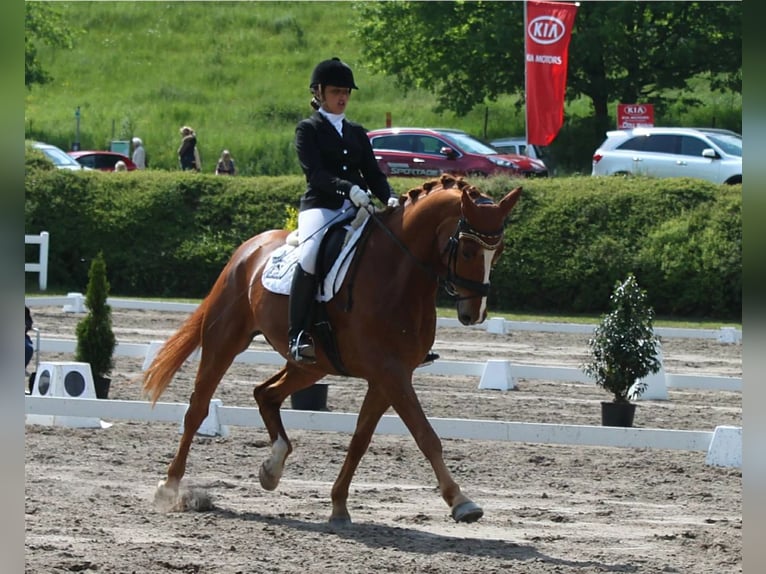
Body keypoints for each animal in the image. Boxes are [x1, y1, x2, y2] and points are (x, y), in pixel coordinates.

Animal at [143, 174, 520, 528]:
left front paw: (339, 505)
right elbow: (426, 436)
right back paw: (169, 487)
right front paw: (462, 502)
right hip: (224, 339)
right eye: (468, 250)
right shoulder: (391, 373)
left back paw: (272, 468)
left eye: (500, 251)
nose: (474, 314)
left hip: (312, 365)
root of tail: (249, 248)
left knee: (265, 393)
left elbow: (360, 440)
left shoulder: (387, 377)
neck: (398, 275)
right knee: (198, 408)